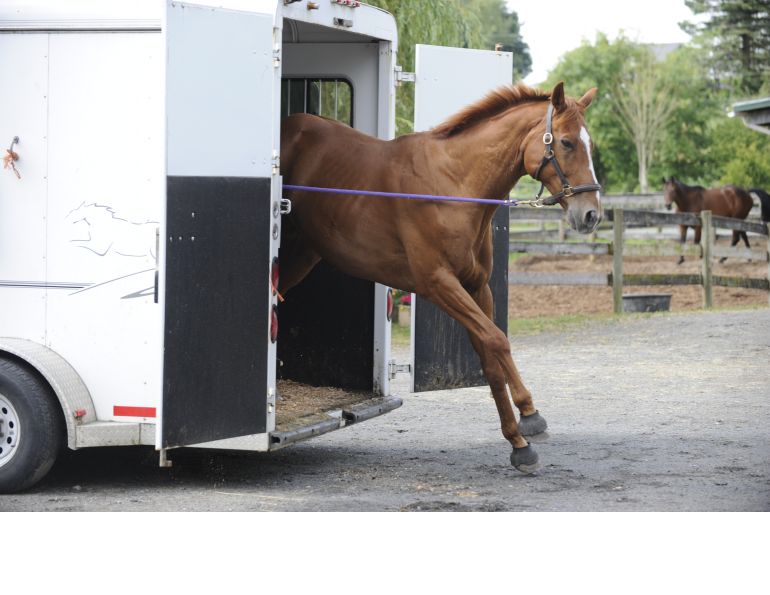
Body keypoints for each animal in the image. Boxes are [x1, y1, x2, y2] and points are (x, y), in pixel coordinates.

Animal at [279, 82, 602, 472]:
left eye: (589, 143)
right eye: (567, 142)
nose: (591, 215)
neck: (453, 187)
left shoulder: (476, 287)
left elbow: (489, 353)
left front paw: (521, 433)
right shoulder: (438, 285)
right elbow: (497, 341)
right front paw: (527, 424)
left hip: (301, 256)